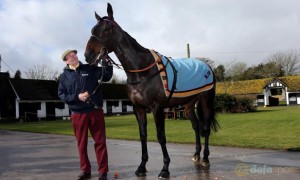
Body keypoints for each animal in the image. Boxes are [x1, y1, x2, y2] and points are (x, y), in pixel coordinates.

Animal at [83, 2, 219, 179]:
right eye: (93, 30)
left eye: (107, 28)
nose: (88, 55)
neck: (142, 70)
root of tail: (207, 67)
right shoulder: (138, 108)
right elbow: (143, 136)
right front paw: (142, 167)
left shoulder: (157, 108)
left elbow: (161, 137)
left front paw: (165, 169)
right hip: (189, 105)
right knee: (196, 126)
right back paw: (196, 154)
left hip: (205, 101)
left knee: (206, 128)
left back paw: (205, 158)